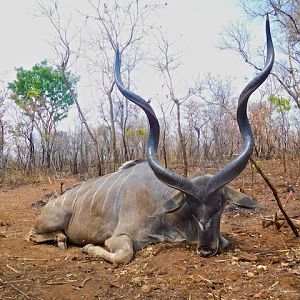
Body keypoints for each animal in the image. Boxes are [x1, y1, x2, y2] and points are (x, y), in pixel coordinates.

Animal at [27, 17, 274, 264]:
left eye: (220, 205)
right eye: (191, 206)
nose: (205, 248)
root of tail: (51, 203)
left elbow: (225, 240)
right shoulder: (119, 237)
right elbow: (123, 254)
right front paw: (88, 247)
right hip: (51, 222)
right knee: (34, 234)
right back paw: (61, 239)